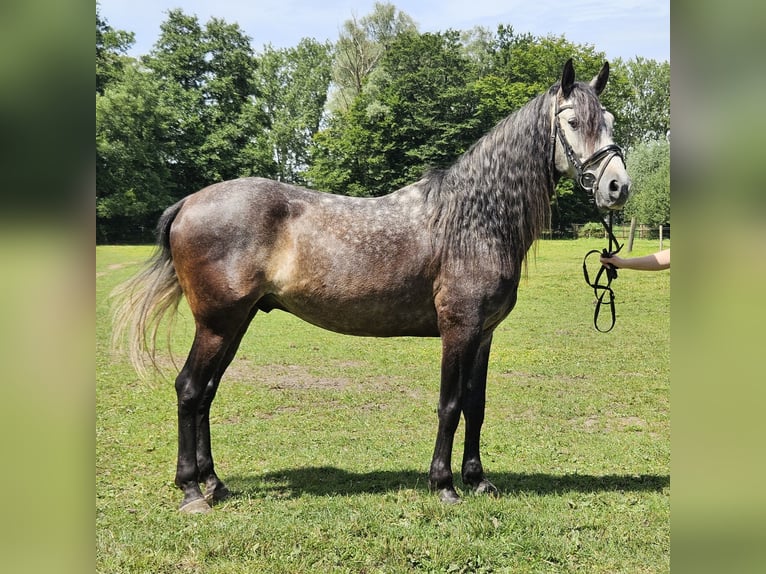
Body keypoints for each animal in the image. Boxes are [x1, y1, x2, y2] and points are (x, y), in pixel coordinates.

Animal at [112, 59, 632, 516]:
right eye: (572, 121)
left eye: (608, 120)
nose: (617, 187)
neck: (473, 220)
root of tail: (188, 204)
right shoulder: (458, 328)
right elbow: (450, 405)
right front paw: (444, 485)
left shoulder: (483, 334)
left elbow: (476, 405)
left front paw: (478, 479)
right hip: (217, 324)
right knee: (188, 389)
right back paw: (191, 492)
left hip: (234, 325)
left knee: (206, 393)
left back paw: (215, 484)